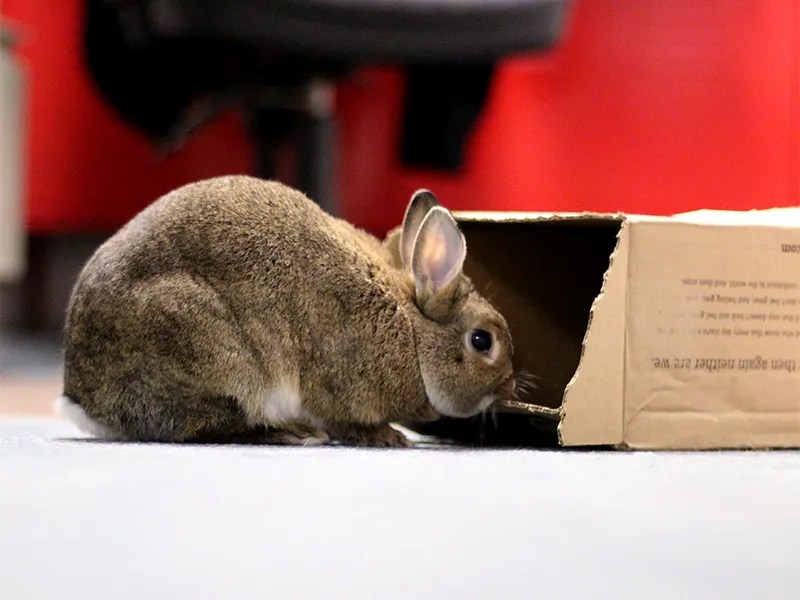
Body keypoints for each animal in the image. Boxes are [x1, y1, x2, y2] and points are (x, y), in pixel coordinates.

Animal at [57, 175, 517, 447]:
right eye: (482, 340)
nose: (511, 387)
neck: (412, 330)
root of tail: (80, 395)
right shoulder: (338, 387)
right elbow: (346, 421)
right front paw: (389, 437)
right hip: (218, 356)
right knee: (209, 426)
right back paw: (295, 434)